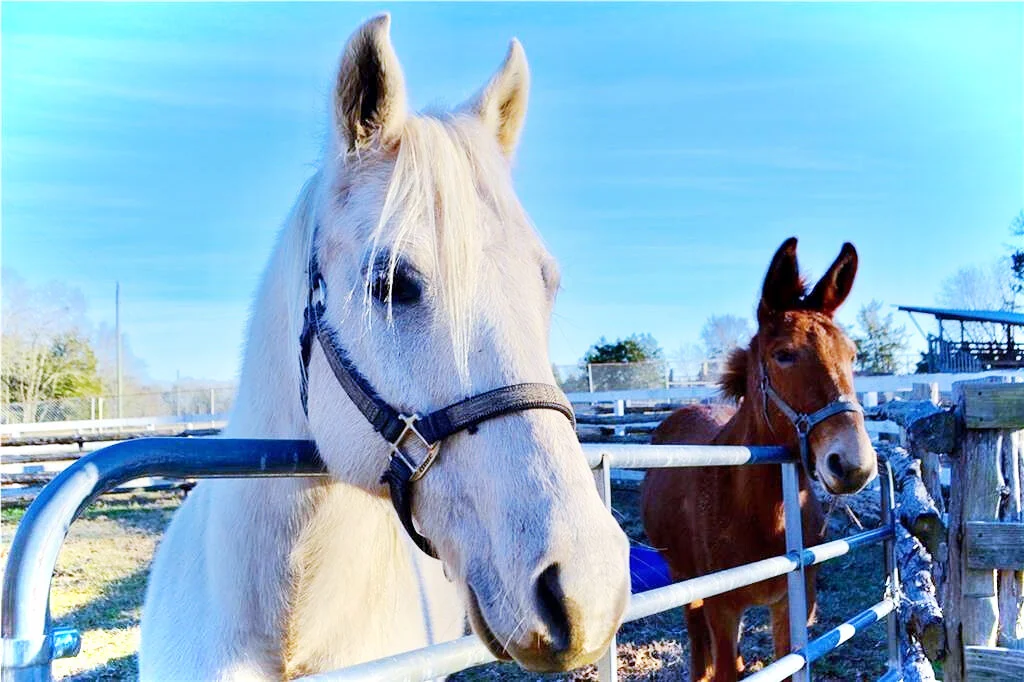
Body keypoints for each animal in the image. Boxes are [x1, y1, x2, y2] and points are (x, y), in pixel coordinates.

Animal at [641, 237, 877, 682]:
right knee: (698, 644)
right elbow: (724, 664)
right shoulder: (722, 609)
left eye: (853, 355)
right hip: (684, 578)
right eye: (783, 354)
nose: (854, 464)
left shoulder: (793, 607)